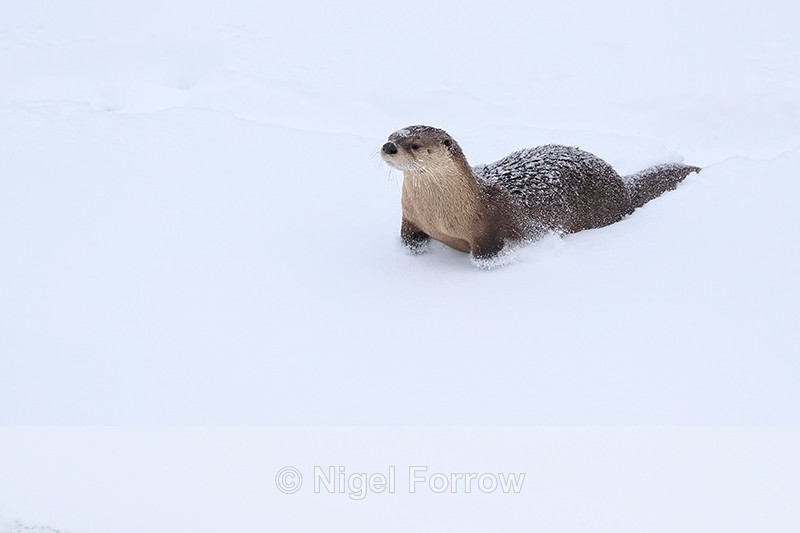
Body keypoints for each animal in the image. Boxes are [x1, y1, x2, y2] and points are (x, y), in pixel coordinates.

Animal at [381, 125, 699, 266]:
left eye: (415, 145)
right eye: (392, 135)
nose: (388, 147)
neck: (437, 215)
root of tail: (622, 185)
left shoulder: (488, 227)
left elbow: (487, 256)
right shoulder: (410, 217)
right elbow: (408, 241)